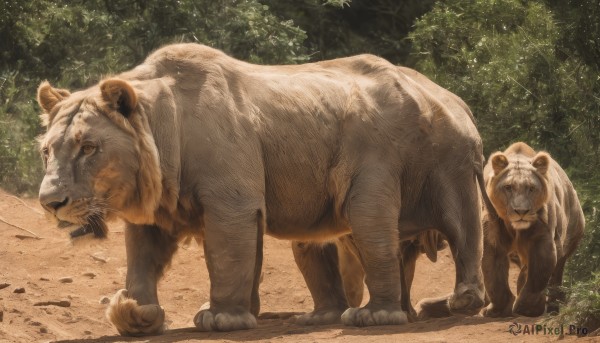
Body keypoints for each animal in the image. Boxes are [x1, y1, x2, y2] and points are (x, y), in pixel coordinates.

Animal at [480, 142, 584, 318]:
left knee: (555, 276)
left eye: (531, 188)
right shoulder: (492, 237)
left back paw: (553, 307)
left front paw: (527, 308)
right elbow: (493, 276)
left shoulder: (542, 238)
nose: (521, 211)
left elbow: (538, 274)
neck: (516, 229)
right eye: (508, 187)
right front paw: (497, 309)